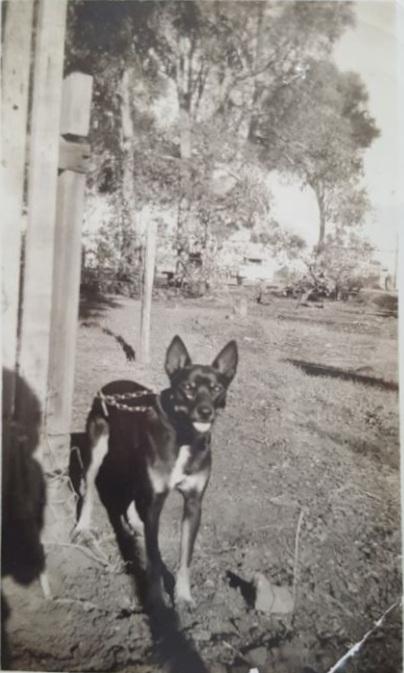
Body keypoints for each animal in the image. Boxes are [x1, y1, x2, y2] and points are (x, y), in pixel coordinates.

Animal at [73, 336, 237, 604]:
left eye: (216, 389)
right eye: (188, 387)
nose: (205, 412)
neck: (184, 436)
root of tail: (110, 385)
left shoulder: (193, 503)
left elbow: (185, 557)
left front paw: (183, 596)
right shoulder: (155, 501)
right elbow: (154, 556)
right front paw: (157, 598)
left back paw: (135, 522)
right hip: (98, 448)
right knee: (89, 489)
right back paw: (83, 528)